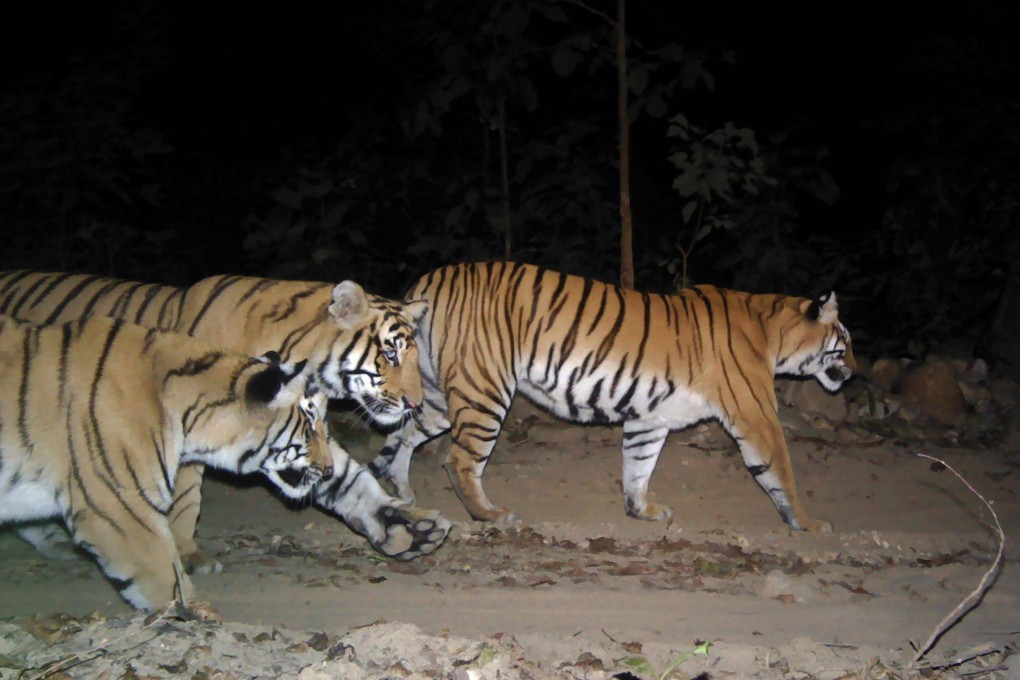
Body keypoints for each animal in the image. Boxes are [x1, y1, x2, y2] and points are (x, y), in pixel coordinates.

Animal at [0, 270, 450, 572]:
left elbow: (346, 478)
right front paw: (188, 554)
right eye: (390, 354)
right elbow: (185, 498)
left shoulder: (307, 428)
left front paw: (407, 529)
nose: (414, 403)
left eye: (413, 356)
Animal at [371, 261, 856, 533]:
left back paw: (402, 493)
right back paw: (488, 514)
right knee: (459, 460)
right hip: (485, 388)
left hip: (435, 392)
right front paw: (808, 523)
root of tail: (429, 281)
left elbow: (638, 465)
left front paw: (641, 510)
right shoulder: (756, 414)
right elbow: (781, 472)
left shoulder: (650, 418)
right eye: (845, 340)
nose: (854, 370)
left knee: (403, 436)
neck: (772, 332)